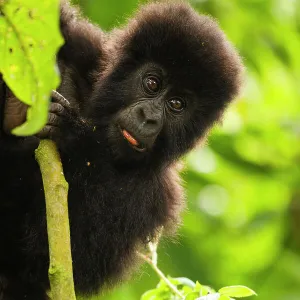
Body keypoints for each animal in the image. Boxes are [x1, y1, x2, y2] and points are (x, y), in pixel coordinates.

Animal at [0, 1, 241, 298]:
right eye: (152, 83)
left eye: (176, 104)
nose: (149, 117)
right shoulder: (88, 48)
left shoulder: (157, 196)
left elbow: (58, 260)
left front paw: (72, 133)